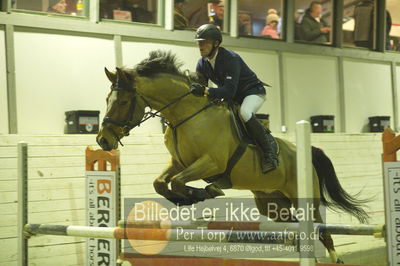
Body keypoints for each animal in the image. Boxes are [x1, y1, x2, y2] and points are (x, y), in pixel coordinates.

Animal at [96, 50, 368, 264]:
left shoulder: (211, 162)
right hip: (272, 203)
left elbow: (179, 181)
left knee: (323, 232)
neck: (184, 115)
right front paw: (185, 198)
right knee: (295, 227)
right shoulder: (178, 162)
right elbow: (161, 183)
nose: (103, 140)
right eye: (107, 99)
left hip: (304, 199)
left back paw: (335, 258)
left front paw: (202, 192)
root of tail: (305, 152)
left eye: (122, 101)